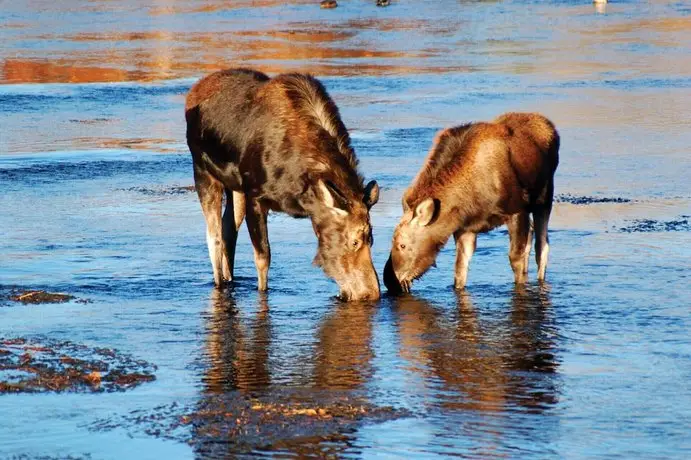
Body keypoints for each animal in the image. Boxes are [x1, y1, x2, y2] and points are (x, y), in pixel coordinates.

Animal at [187, 66, 382, 300]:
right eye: (354, 241)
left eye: (372, 239)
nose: (370, 293)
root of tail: (193, 91)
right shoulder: (256, 196)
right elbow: (263, 258)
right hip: (203, 172)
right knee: (214, 236)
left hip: (234, 188)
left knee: (228, 230)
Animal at [384, 114, 564, 294]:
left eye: (402, 245)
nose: (389, 281)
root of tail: (551, 128)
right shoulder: (465, 229)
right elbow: (459, 270)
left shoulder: (516, 210)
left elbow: (516, 259)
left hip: (545, 198)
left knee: (542, 246)